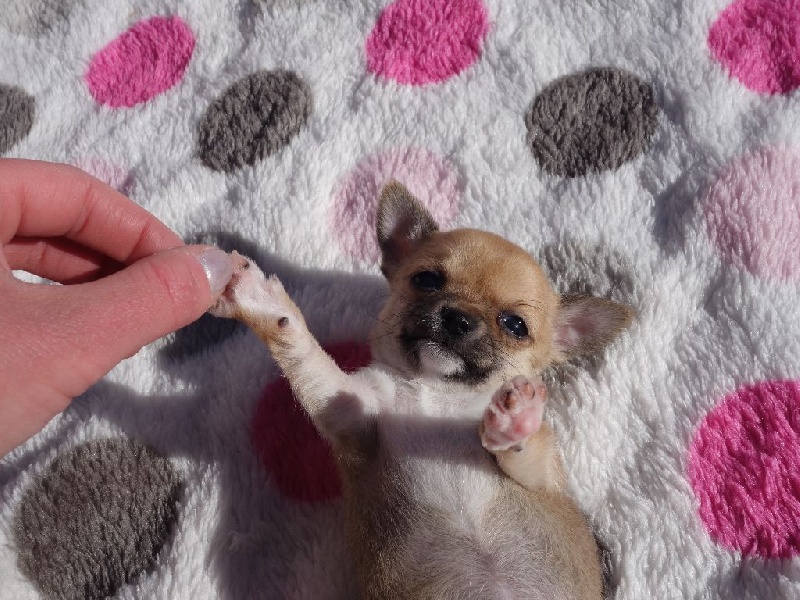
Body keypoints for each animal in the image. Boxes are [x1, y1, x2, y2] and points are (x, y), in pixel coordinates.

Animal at [210, 181, 633, 599]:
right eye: (426, 280)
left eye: (515, 325)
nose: (459, 317)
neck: (437, 392)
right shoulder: (349, 410)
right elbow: (305, 353)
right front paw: (263, 304)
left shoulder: (543, 478)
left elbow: (527, 452)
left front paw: (516, 419)